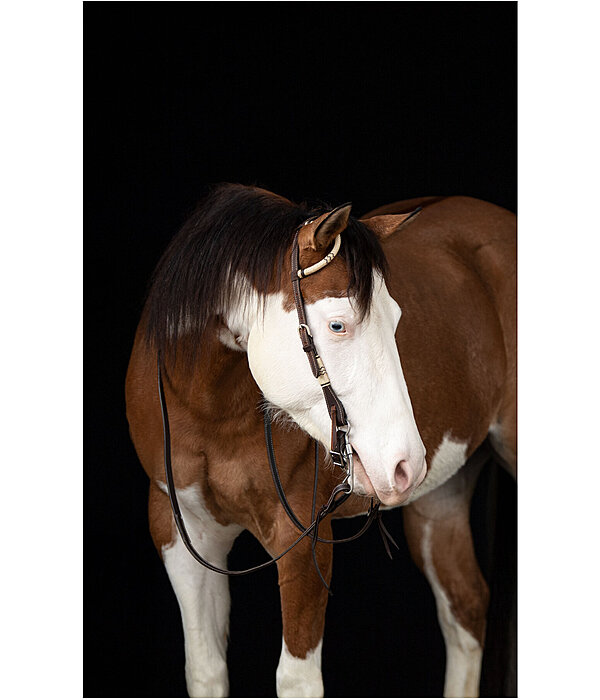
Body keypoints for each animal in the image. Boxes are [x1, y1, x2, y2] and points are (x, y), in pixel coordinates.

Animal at [125, 183, 516, 696]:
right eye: (337, 325)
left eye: (397, 321)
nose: (406, 464)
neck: (210, 409)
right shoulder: (181, 531)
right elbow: (205, 670)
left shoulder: (303, 537)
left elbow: (296, 679)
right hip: (440, 499)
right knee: (464, 610)